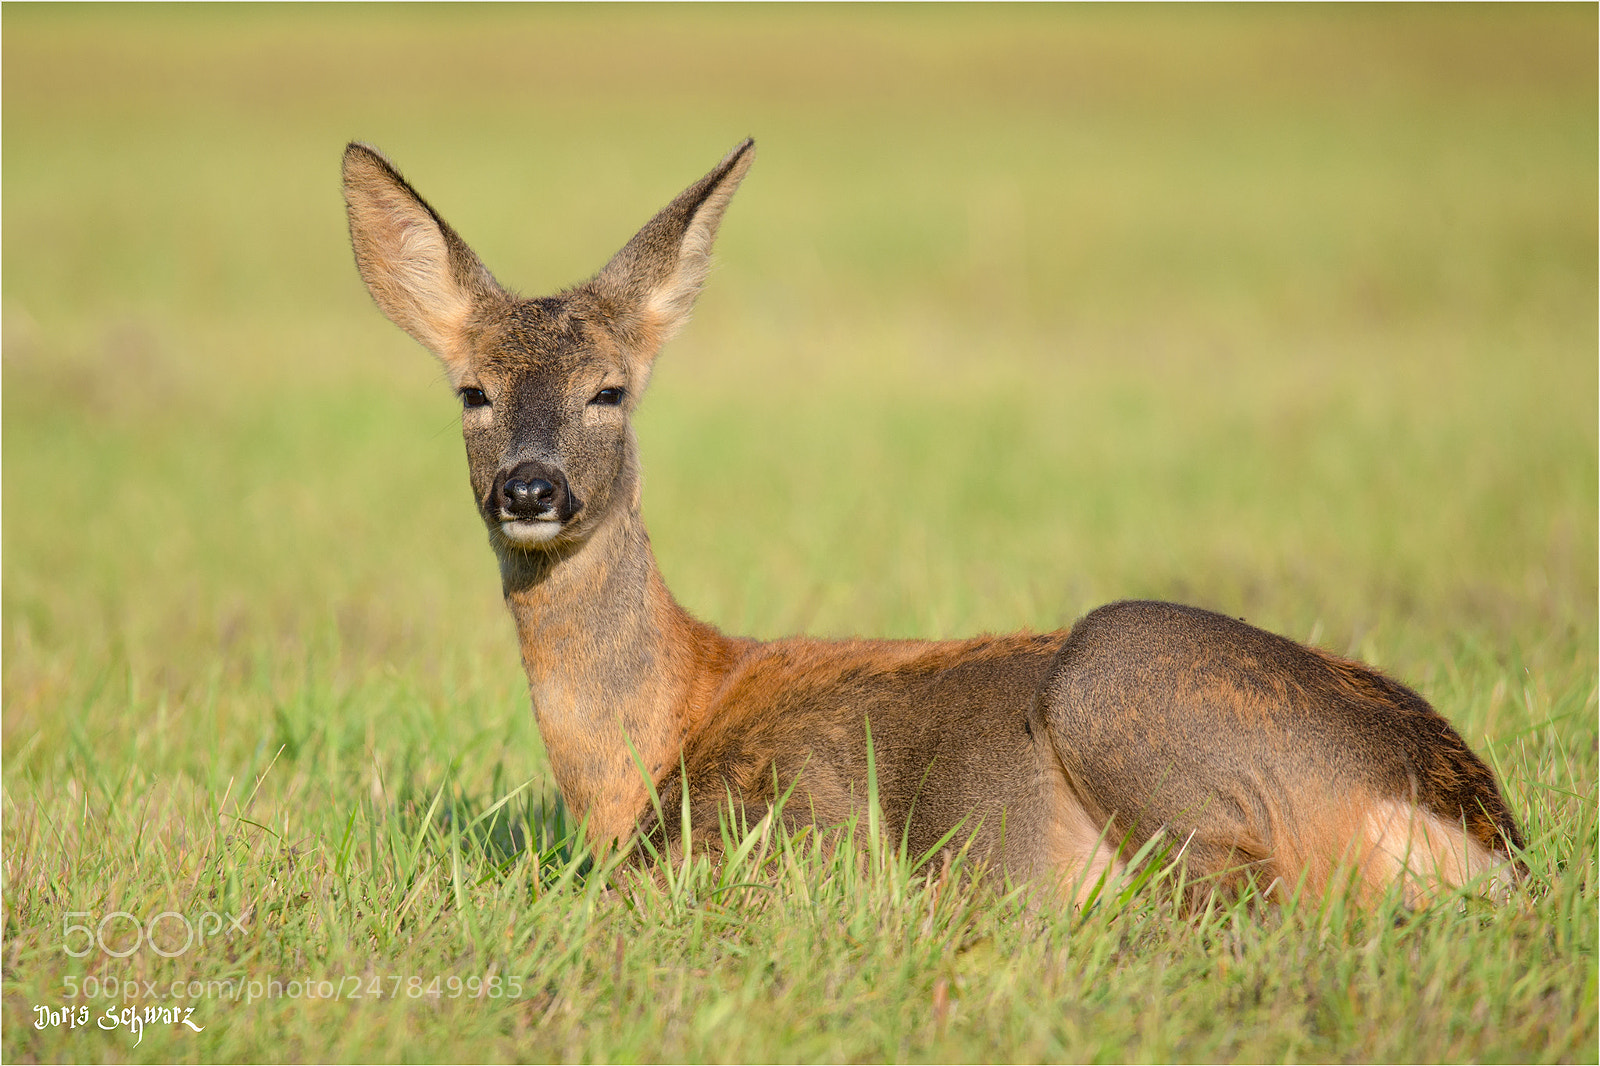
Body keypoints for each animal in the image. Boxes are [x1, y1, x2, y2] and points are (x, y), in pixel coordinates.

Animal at [341, 137, 1523, 909]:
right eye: (473, 391)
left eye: (609, 390)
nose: (531, 489)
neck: (654, 743)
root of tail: (1477, 831)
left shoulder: (782, 831)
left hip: (1123, 684)